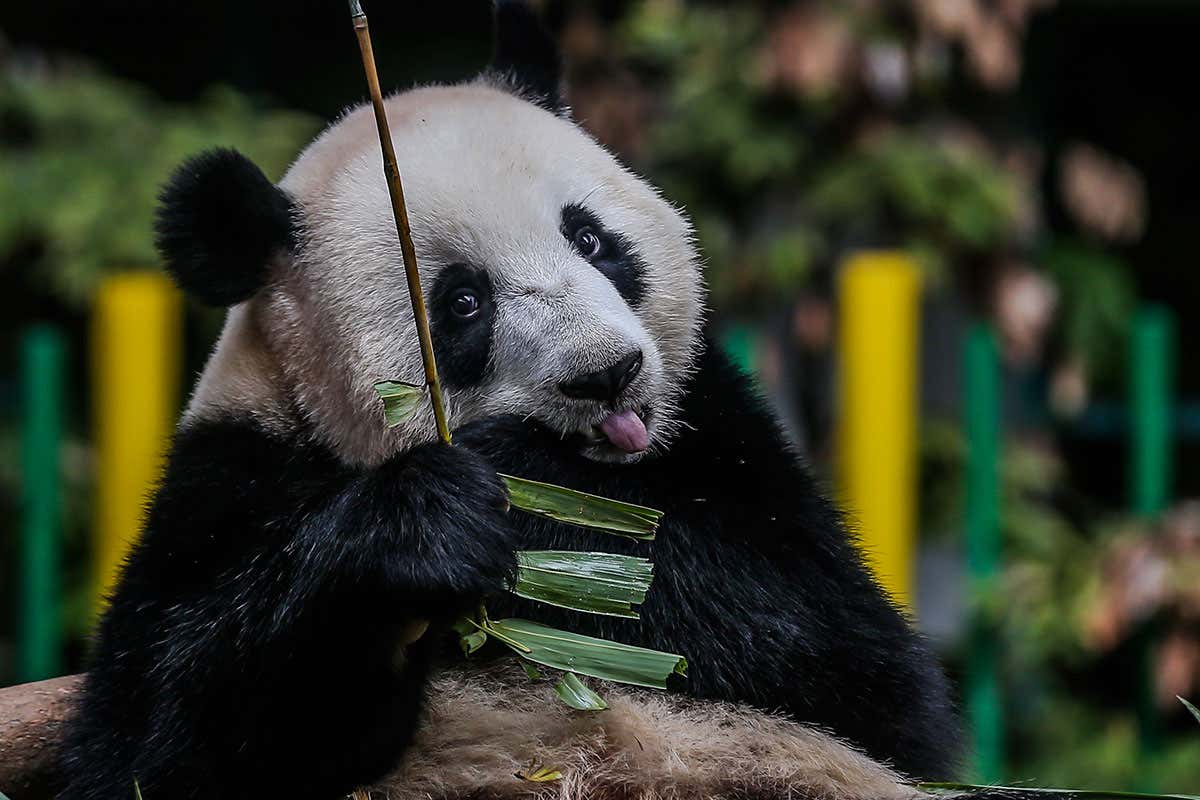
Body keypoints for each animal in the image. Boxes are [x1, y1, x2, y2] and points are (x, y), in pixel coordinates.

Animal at [59, 4, 963, 799]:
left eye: (590, 238)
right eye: (464, 302)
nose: (607, 374)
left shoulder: (721, 425)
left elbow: (858, 669)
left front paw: (526, 486)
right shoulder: (234, 475)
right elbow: (153, 738)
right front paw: (428, 524)